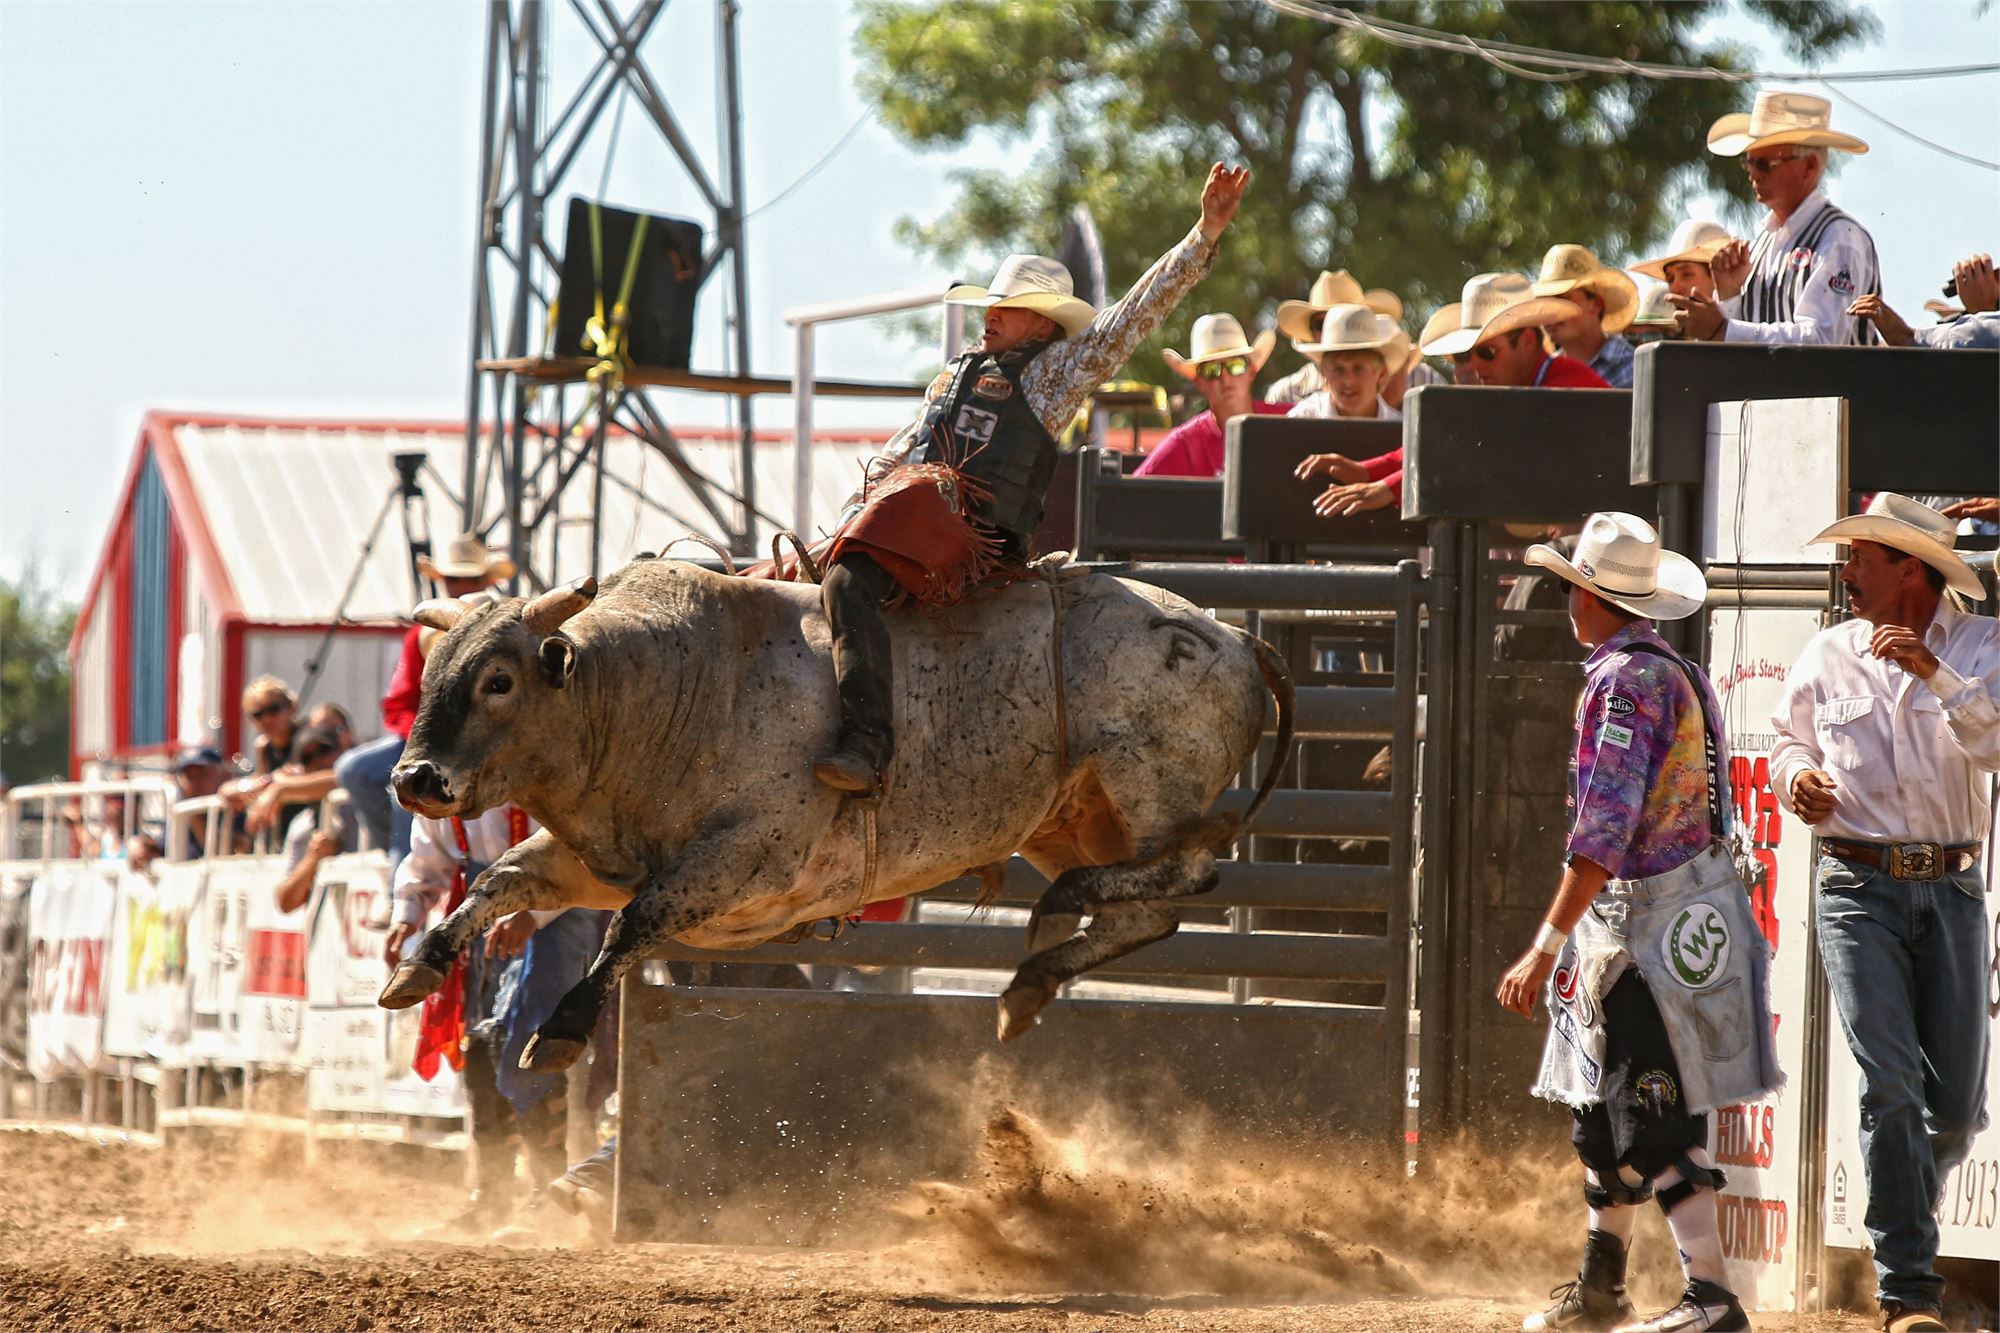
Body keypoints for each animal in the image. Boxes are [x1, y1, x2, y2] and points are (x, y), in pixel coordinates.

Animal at [380, 556, 1288, 1064]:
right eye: (432, 671)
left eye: (499, 679)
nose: (416, 779)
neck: (668, 690)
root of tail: (1237, 637)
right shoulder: (597, 858)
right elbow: (499, 880)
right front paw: (416, 964)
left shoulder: (746, 857)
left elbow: (635, 924)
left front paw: (563, 1028)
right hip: (1070, 819)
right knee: (1149, 915)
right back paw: (1027, 984)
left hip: (1145, 783)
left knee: (1190, 869)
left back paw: (1060, 912)